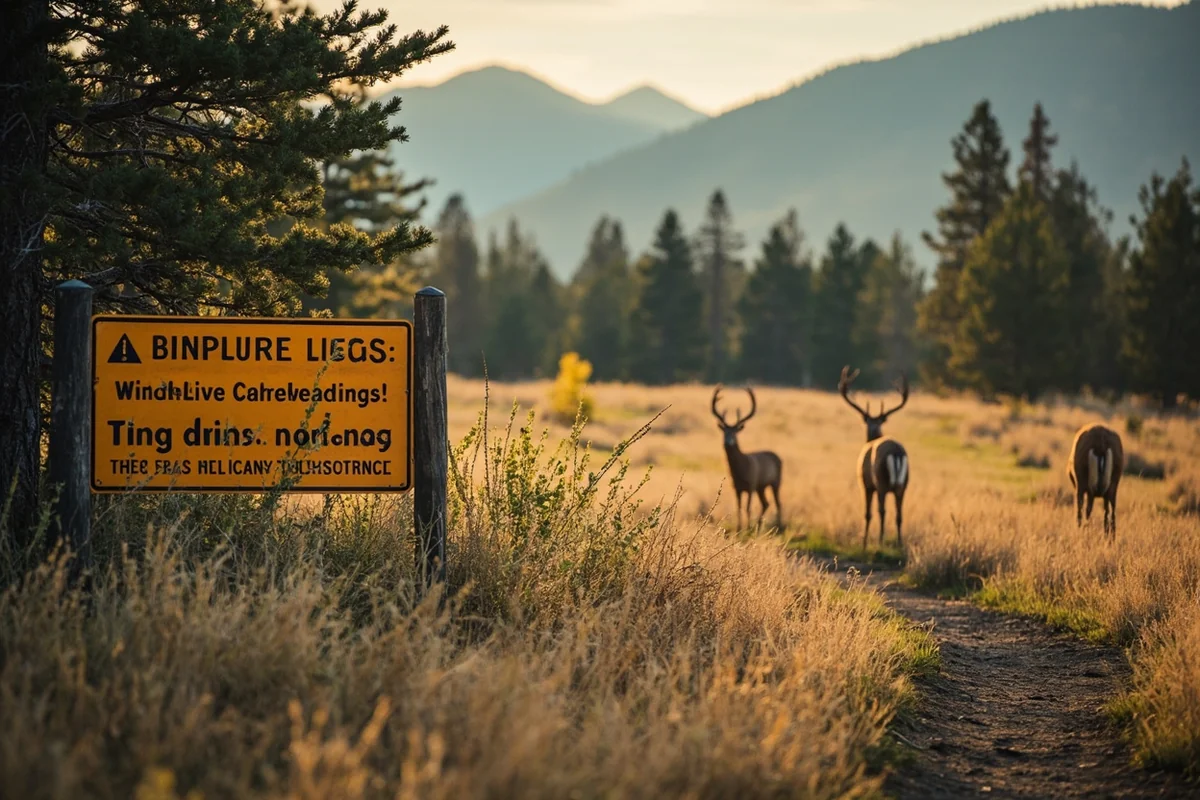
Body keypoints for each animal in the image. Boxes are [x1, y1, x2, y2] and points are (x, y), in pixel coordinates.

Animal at [711, 386, 783, 531]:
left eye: (735, 432)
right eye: (724, 432)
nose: (727, 442)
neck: (740, 470)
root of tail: (777, 456)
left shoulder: (751, 484)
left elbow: (747, 508)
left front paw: (747, 528)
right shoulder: (737, 488)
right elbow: (739, 508)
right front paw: (739, 529)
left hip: (775, 482)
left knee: (778, 503)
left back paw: (779, 526)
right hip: (761, 487)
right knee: (766, 503)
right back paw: (759, 525)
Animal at [838, 366, 910, 552]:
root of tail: (897, 453)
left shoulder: (865, 483)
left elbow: (867, 514)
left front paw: (863, 543)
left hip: (881, 481)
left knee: (881, 511)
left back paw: (880, 541)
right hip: (904, 484)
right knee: (900, 514)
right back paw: (900, 544)